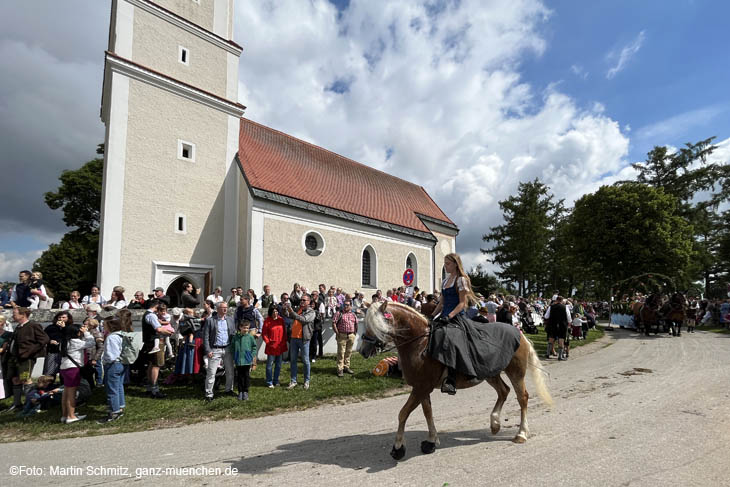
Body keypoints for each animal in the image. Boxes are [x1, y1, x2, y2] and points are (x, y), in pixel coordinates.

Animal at [358, 300, 552, 460]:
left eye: (375, 324)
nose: (363, 350)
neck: (420, 345)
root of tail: (519, 333)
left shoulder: (421, 387)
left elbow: (403, 413)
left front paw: (398, 448)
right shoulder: (422, 388)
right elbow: (427, 413)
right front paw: (431, 441)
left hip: (515, 372)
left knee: (522, 398)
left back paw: (521, 433)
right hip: (491, 373)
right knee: (504, 391)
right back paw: (495, 424)